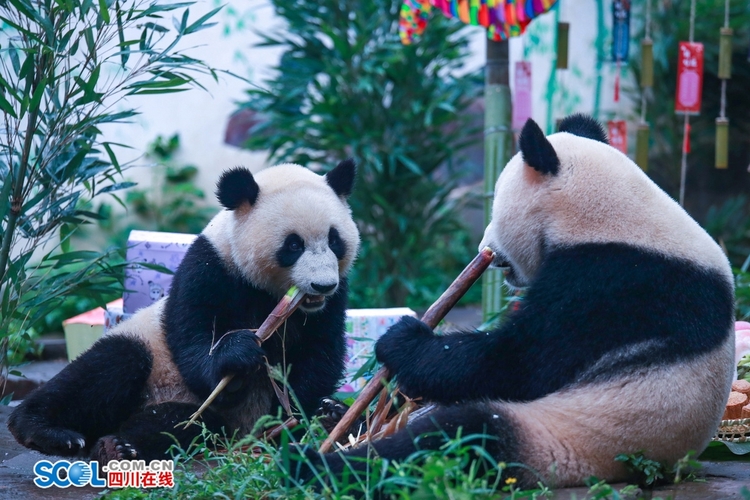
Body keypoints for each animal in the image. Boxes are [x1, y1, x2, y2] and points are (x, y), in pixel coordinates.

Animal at [8, 160, 362, 464]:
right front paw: (239, 352)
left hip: (192, 411)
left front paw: (298, 417)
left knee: (176, 424)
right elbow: (193, 340)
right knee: (111, 366)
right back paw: (47, 430)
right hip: (148, 353)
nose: (322, 285)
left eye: (335, 240)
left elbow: (319, 355)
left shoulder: (334, 301)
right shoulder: (210, 268)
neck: (272, 295)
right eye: (293, 245)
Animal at [298, 116, 736, 488]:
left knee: (460, 437)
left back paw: (317, 465)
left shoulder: (612, 283)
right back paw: (329, 418)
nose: (485, 250)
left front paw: (402, 339)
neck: (616, 215)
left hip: (573, 438)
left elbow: (521, 361)